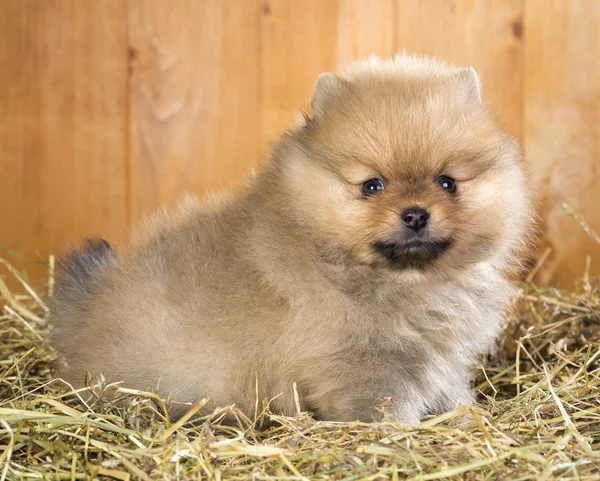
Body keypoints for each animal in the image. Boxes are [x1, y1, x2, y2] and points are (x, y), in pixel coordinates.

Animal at [49, 54, 532, 422]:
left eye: (447, 183)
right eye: (372, 185)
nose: (415, 214)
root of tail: (84, 310)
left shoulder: (439, 355)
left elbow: (449, 389)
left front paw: (469, 417)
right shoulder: (362, 364)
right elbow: (382, 407)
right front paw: (399, 437)